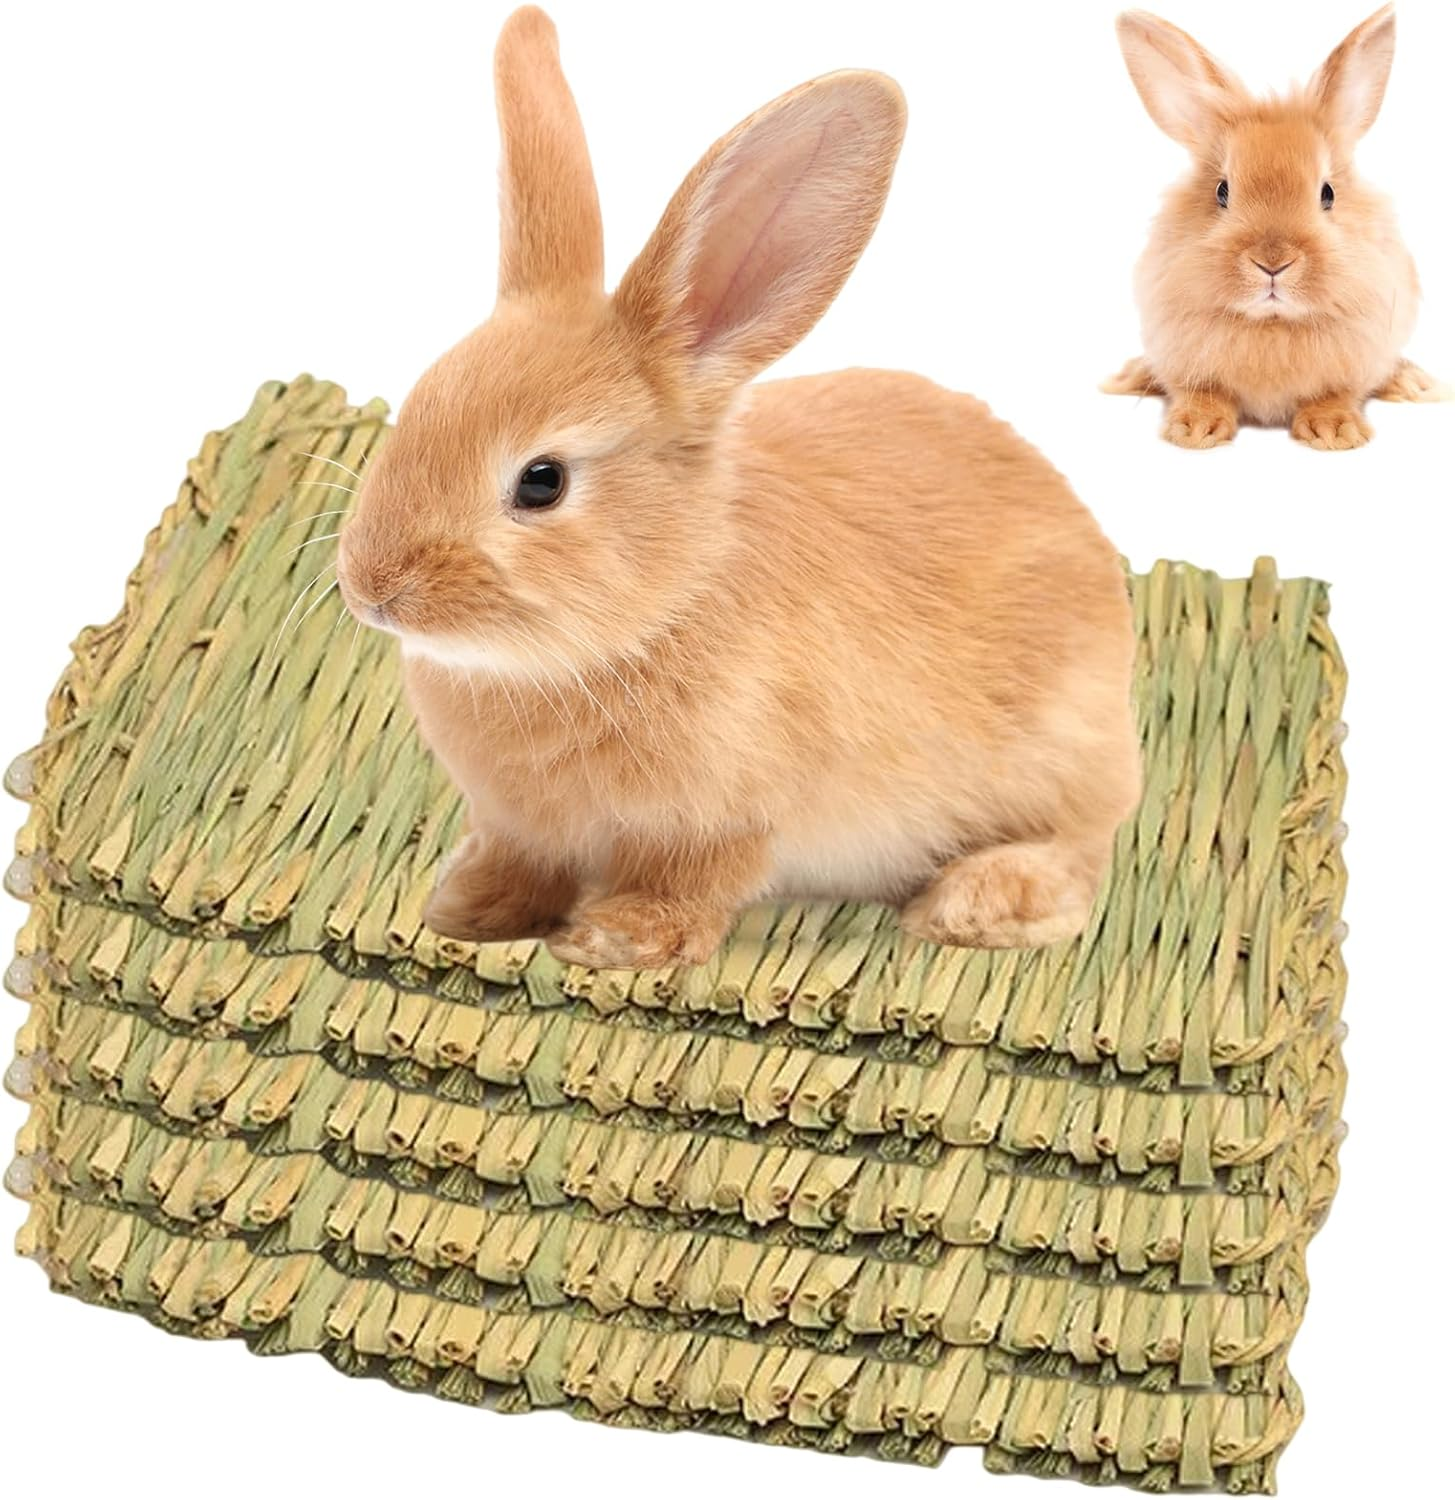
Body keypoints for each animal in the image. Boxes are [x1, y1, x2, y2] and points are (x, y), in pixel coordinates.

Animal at [336, 5, 1140, 971]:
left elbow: (693, 884)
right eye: (417, 401)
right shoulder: (523, 829)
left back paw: (973, 905)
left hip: (1059, 757)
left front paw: (613, 939)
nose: (371, 589)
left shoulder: (730, 820)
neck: (656, 609)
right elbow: (518, 866)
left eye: (541, 482)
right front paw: (465, 910)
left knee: (1082, 855)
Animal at [1104, 6, 1450, 450]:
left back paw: (1414, 383)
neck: (1272, 325)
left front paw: (1335, 432)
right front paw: (1193, 430)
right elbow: (1201, 392)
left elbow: (1335, 394)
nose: (1272, 262)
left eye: (1327, 193)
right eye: (1222, 191)